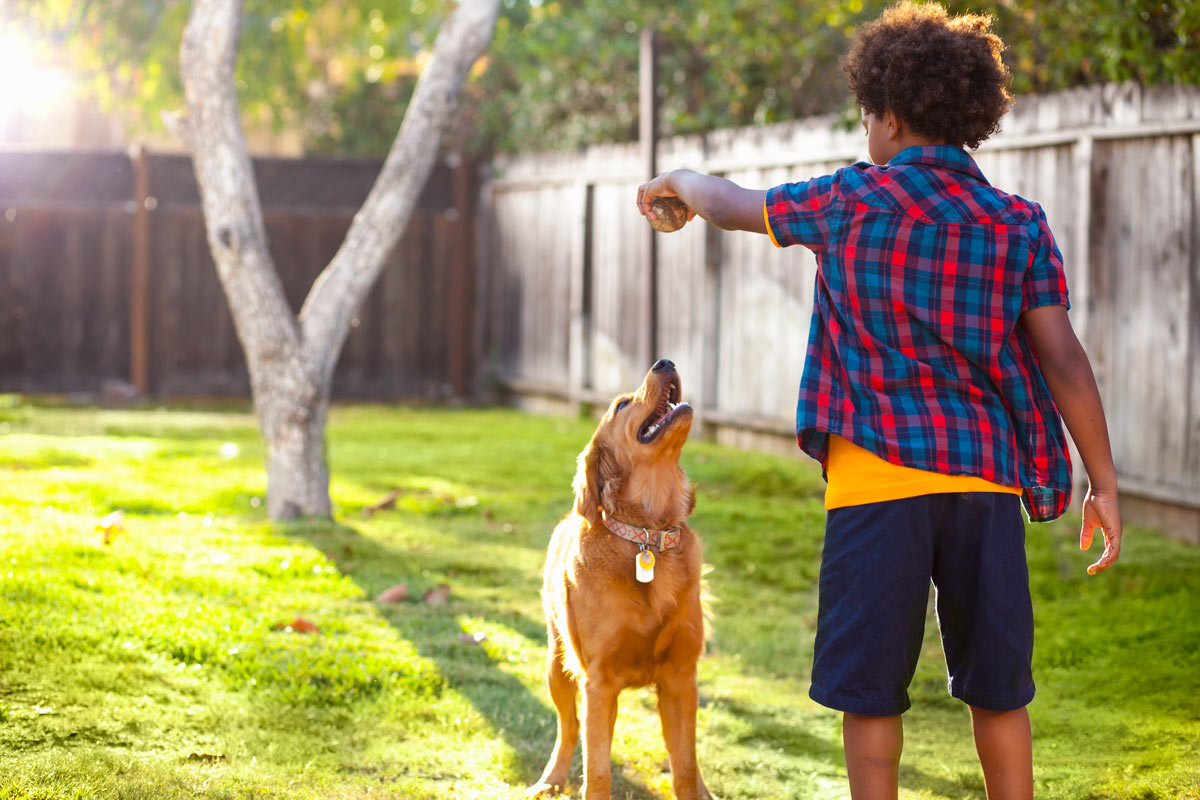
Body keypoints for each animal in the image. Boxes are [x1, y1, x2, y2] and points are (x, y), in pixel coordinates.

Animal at [528, 362, 710, 800]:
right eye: (622, 406)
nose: (665, 362)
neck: (647, 535)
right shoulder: (599, 682)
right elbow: (597, 773)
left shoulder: (681, 679)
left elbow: (684, 769)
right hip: (557, 664)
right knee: (568, 728)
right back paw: (550, 780)